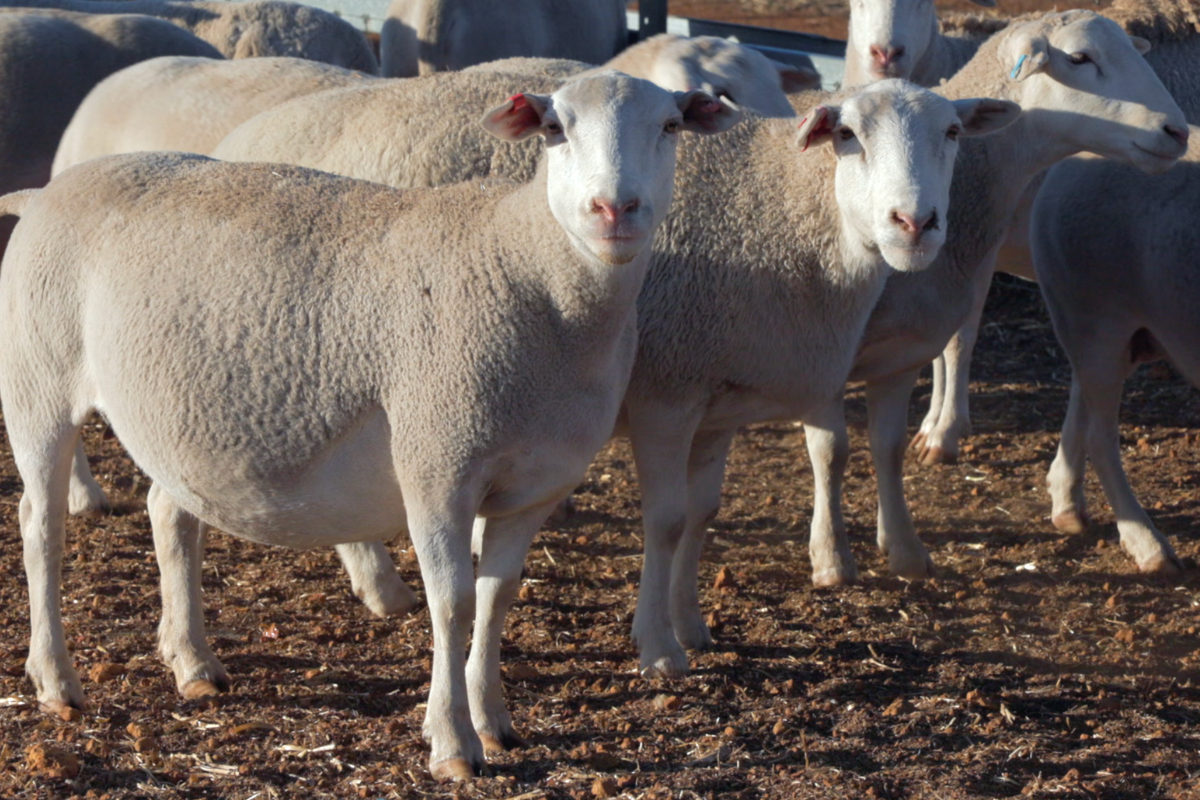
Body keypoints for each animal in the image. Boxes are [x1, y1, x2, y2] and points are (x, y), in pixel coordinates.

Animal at [0, 72, 738, 779]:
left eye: (671, 126)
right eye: (555, 127)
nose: (614, 209)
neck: (527, 271)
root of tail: (45, 191)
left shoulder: (532, 487)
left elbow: (497, 599)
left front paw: (493, 721)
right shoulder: (436, 463)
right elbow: (453, 604)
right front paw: (451, 742)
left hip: (181, 421)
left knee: (168, 514)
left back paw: (193, 663)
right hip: (36, 385)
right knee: (41, 527)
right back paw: (56, 680)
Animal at [1031, 140, 1199, 576]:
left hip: (1110, 327)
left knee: (1080, 392)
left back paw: (1068, 509)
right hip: (1097, 316)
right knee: (1100, 436)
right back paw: (1150, 548)